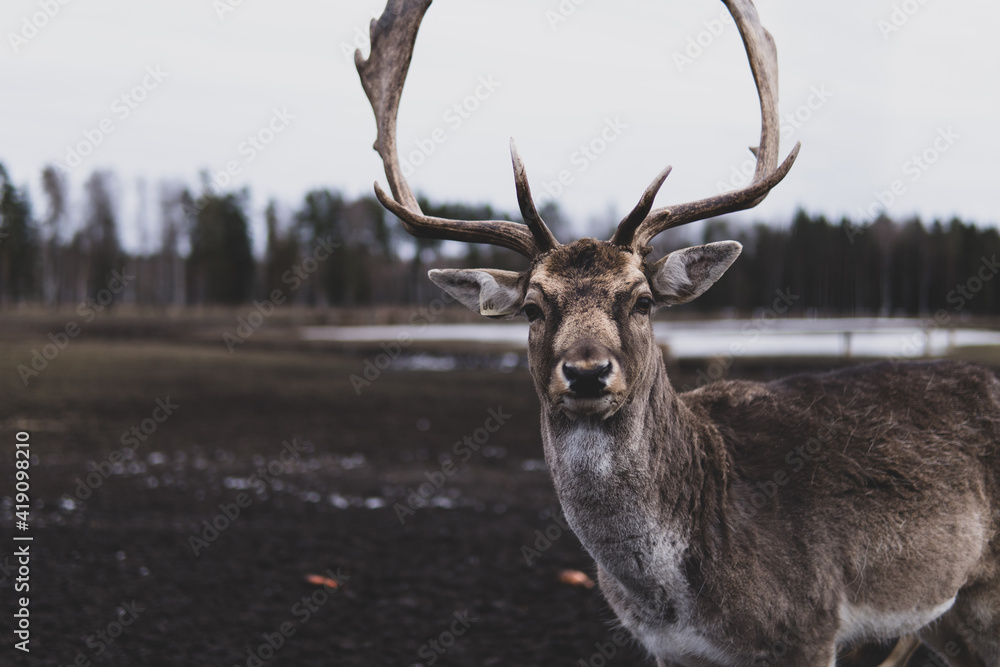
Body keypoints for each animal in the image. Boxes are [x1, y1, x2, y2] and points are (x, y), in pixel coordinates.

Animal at [355, 1, 1000, 665]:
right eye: (533, 308)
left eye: (642, 301)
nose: (587, 371)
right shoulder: (667, 647)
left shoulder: (809, 625)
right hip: (949, 614)